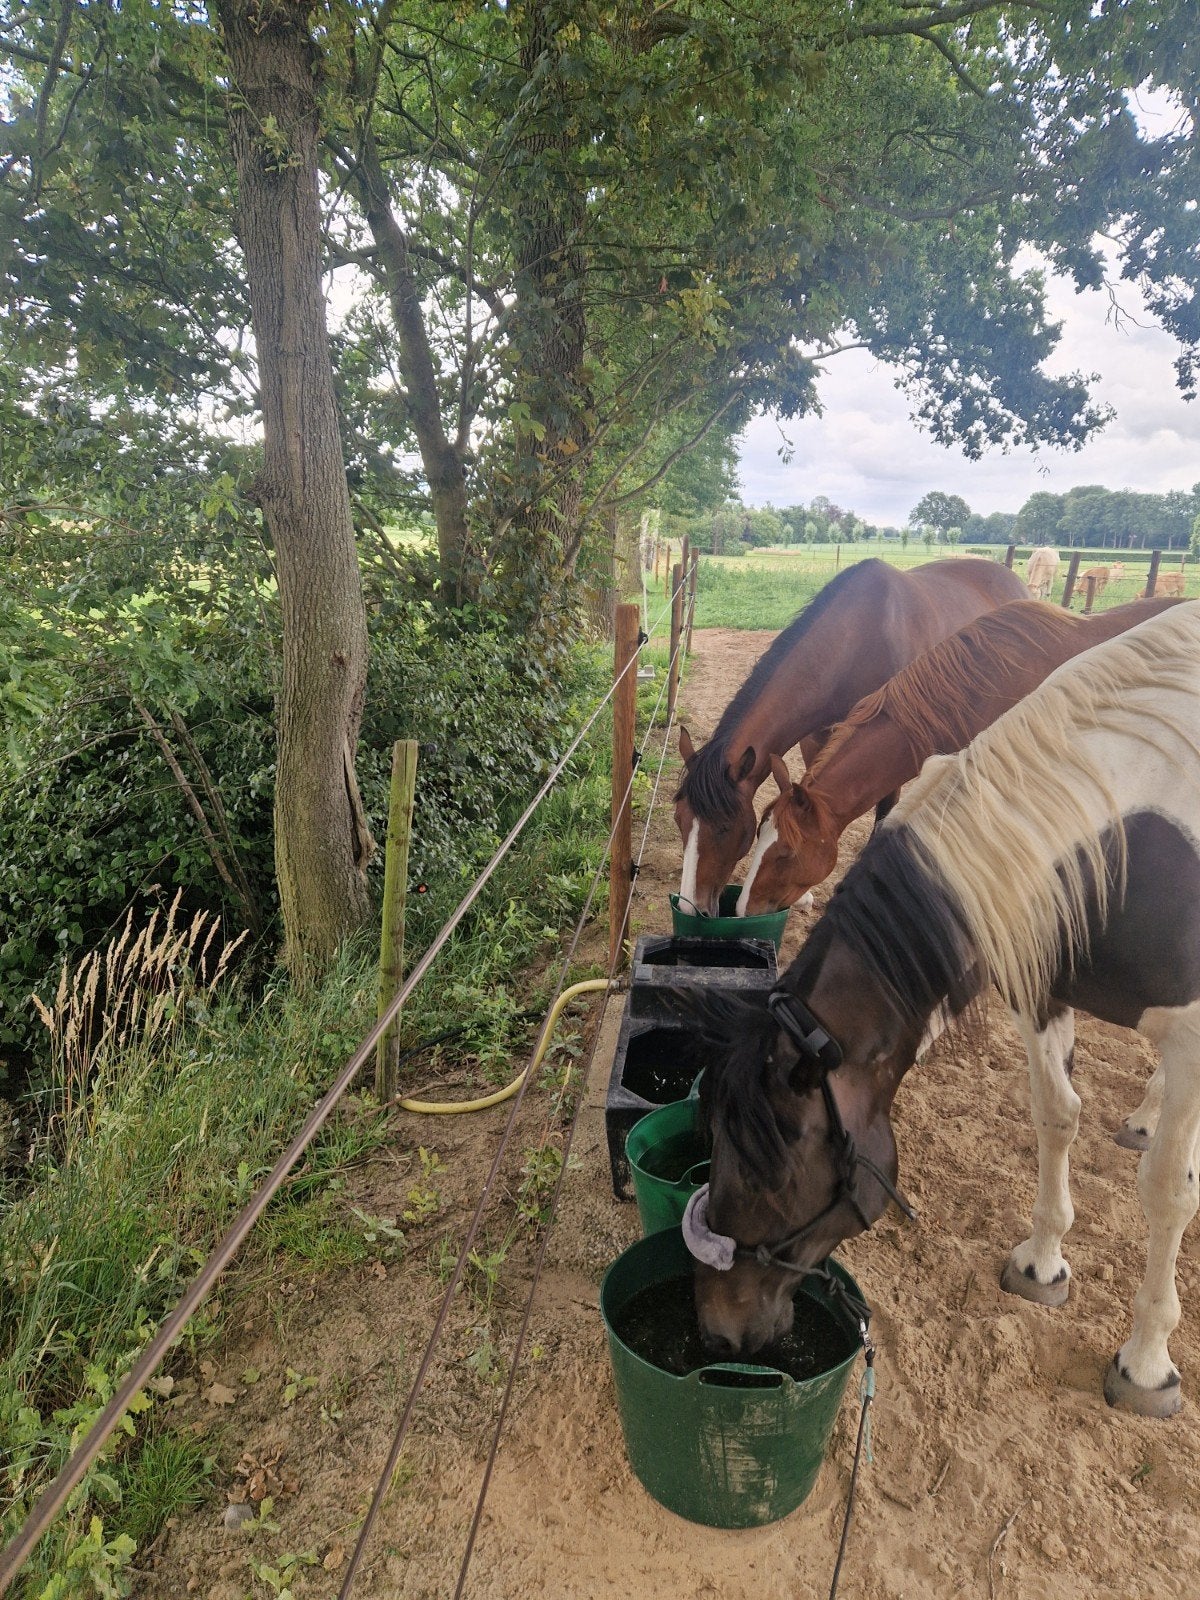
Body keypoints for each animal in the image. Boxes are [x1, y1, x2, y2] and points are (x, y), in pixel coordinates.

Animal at [674, 557, 1026, 915]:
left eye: (724, 828)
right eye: (680, 820)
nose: (691, 907)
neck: (857, 642)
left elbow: (884, 808)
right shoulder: (816, 740)